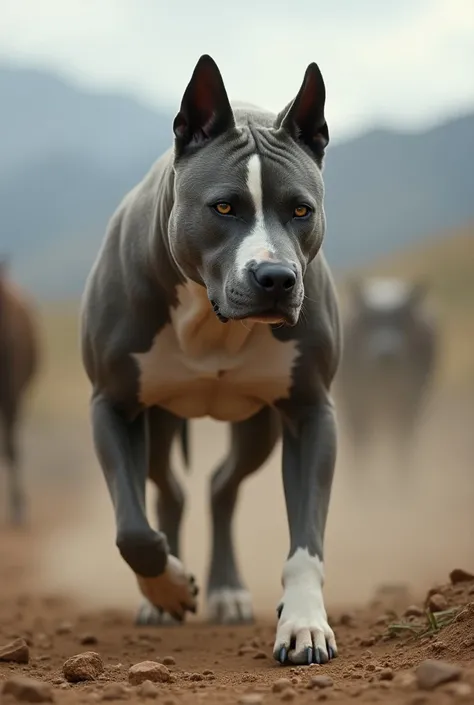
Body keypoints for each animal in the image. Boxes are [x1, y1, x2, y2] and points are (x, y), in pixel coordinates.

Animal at [80, 55, 340, 664]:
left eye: (301, 210)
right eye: (224, 206)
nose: (276, 278)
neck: (211, 319)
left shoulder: (311, 411)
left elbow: (306, 543)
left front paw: (303, 623)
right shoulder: (112, 404)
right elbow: (132, 531)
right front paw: (171, 587)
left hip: (259, 425)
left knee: (222, 486)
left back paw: (226, 590)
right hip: (156, 422)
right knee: (167, 491)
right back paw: (163, 598)